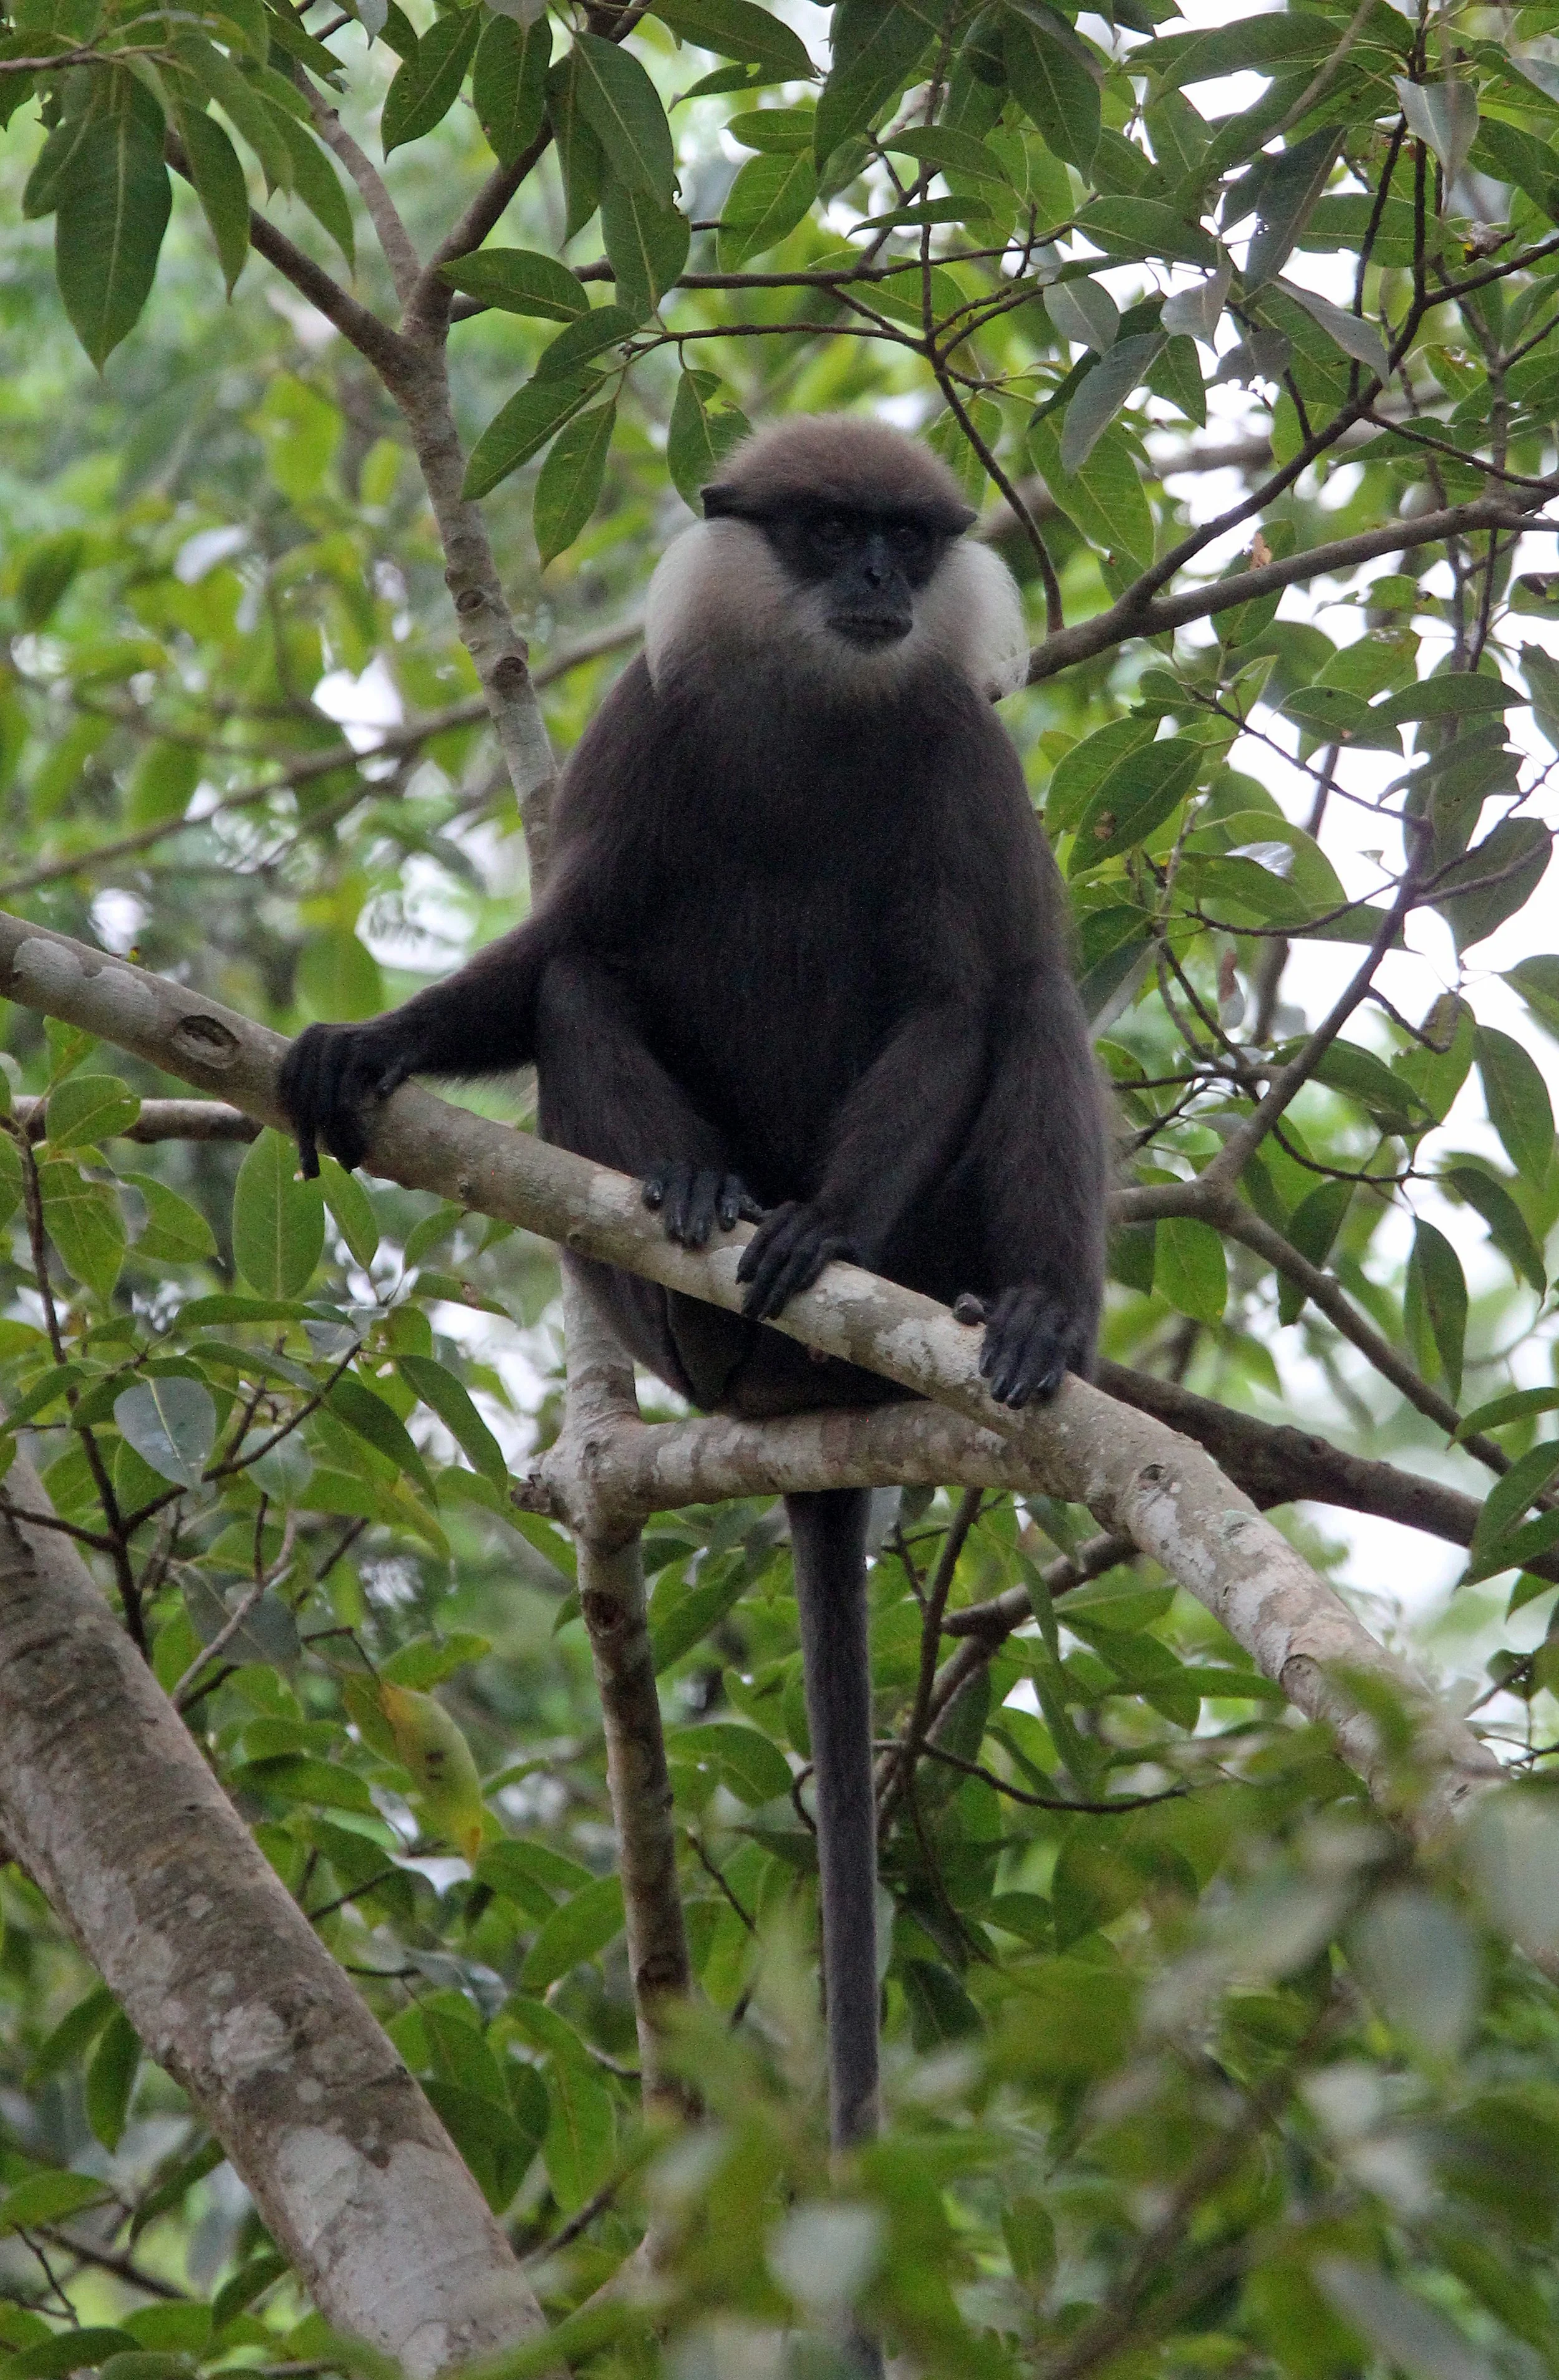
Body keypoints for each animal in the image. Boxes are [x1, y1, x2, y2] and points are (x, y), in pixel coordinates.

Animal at [281, 415, 1108, 2234]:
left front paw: (825, 1233)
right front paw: (368, 1046)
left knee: (1033, 1003)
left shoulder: (955, 749)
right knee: (585, 989)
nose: (877, 582)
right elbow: (560, 951)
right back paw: (689, 1203)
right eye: (822, 532)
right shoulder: (640, 727)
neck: (813, 709)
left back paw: (1015, 1320)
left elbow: (959, 1001)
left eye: (903, 538)